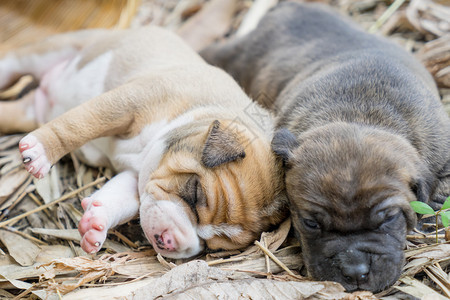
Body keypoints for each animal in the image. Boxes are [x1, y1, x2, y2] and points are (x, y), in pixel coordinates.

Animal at [0, 26, 288, 258]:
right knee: (15, 62)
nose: (171, 242)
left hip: (27, 112)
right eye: (194, 193)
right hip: (58, 48)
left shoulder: (137, 174)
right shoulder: (127, 102)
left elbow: (120, 198)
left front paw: (96, 225)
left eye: (212, 248)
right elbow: (79, 125)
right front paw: (41, 151)